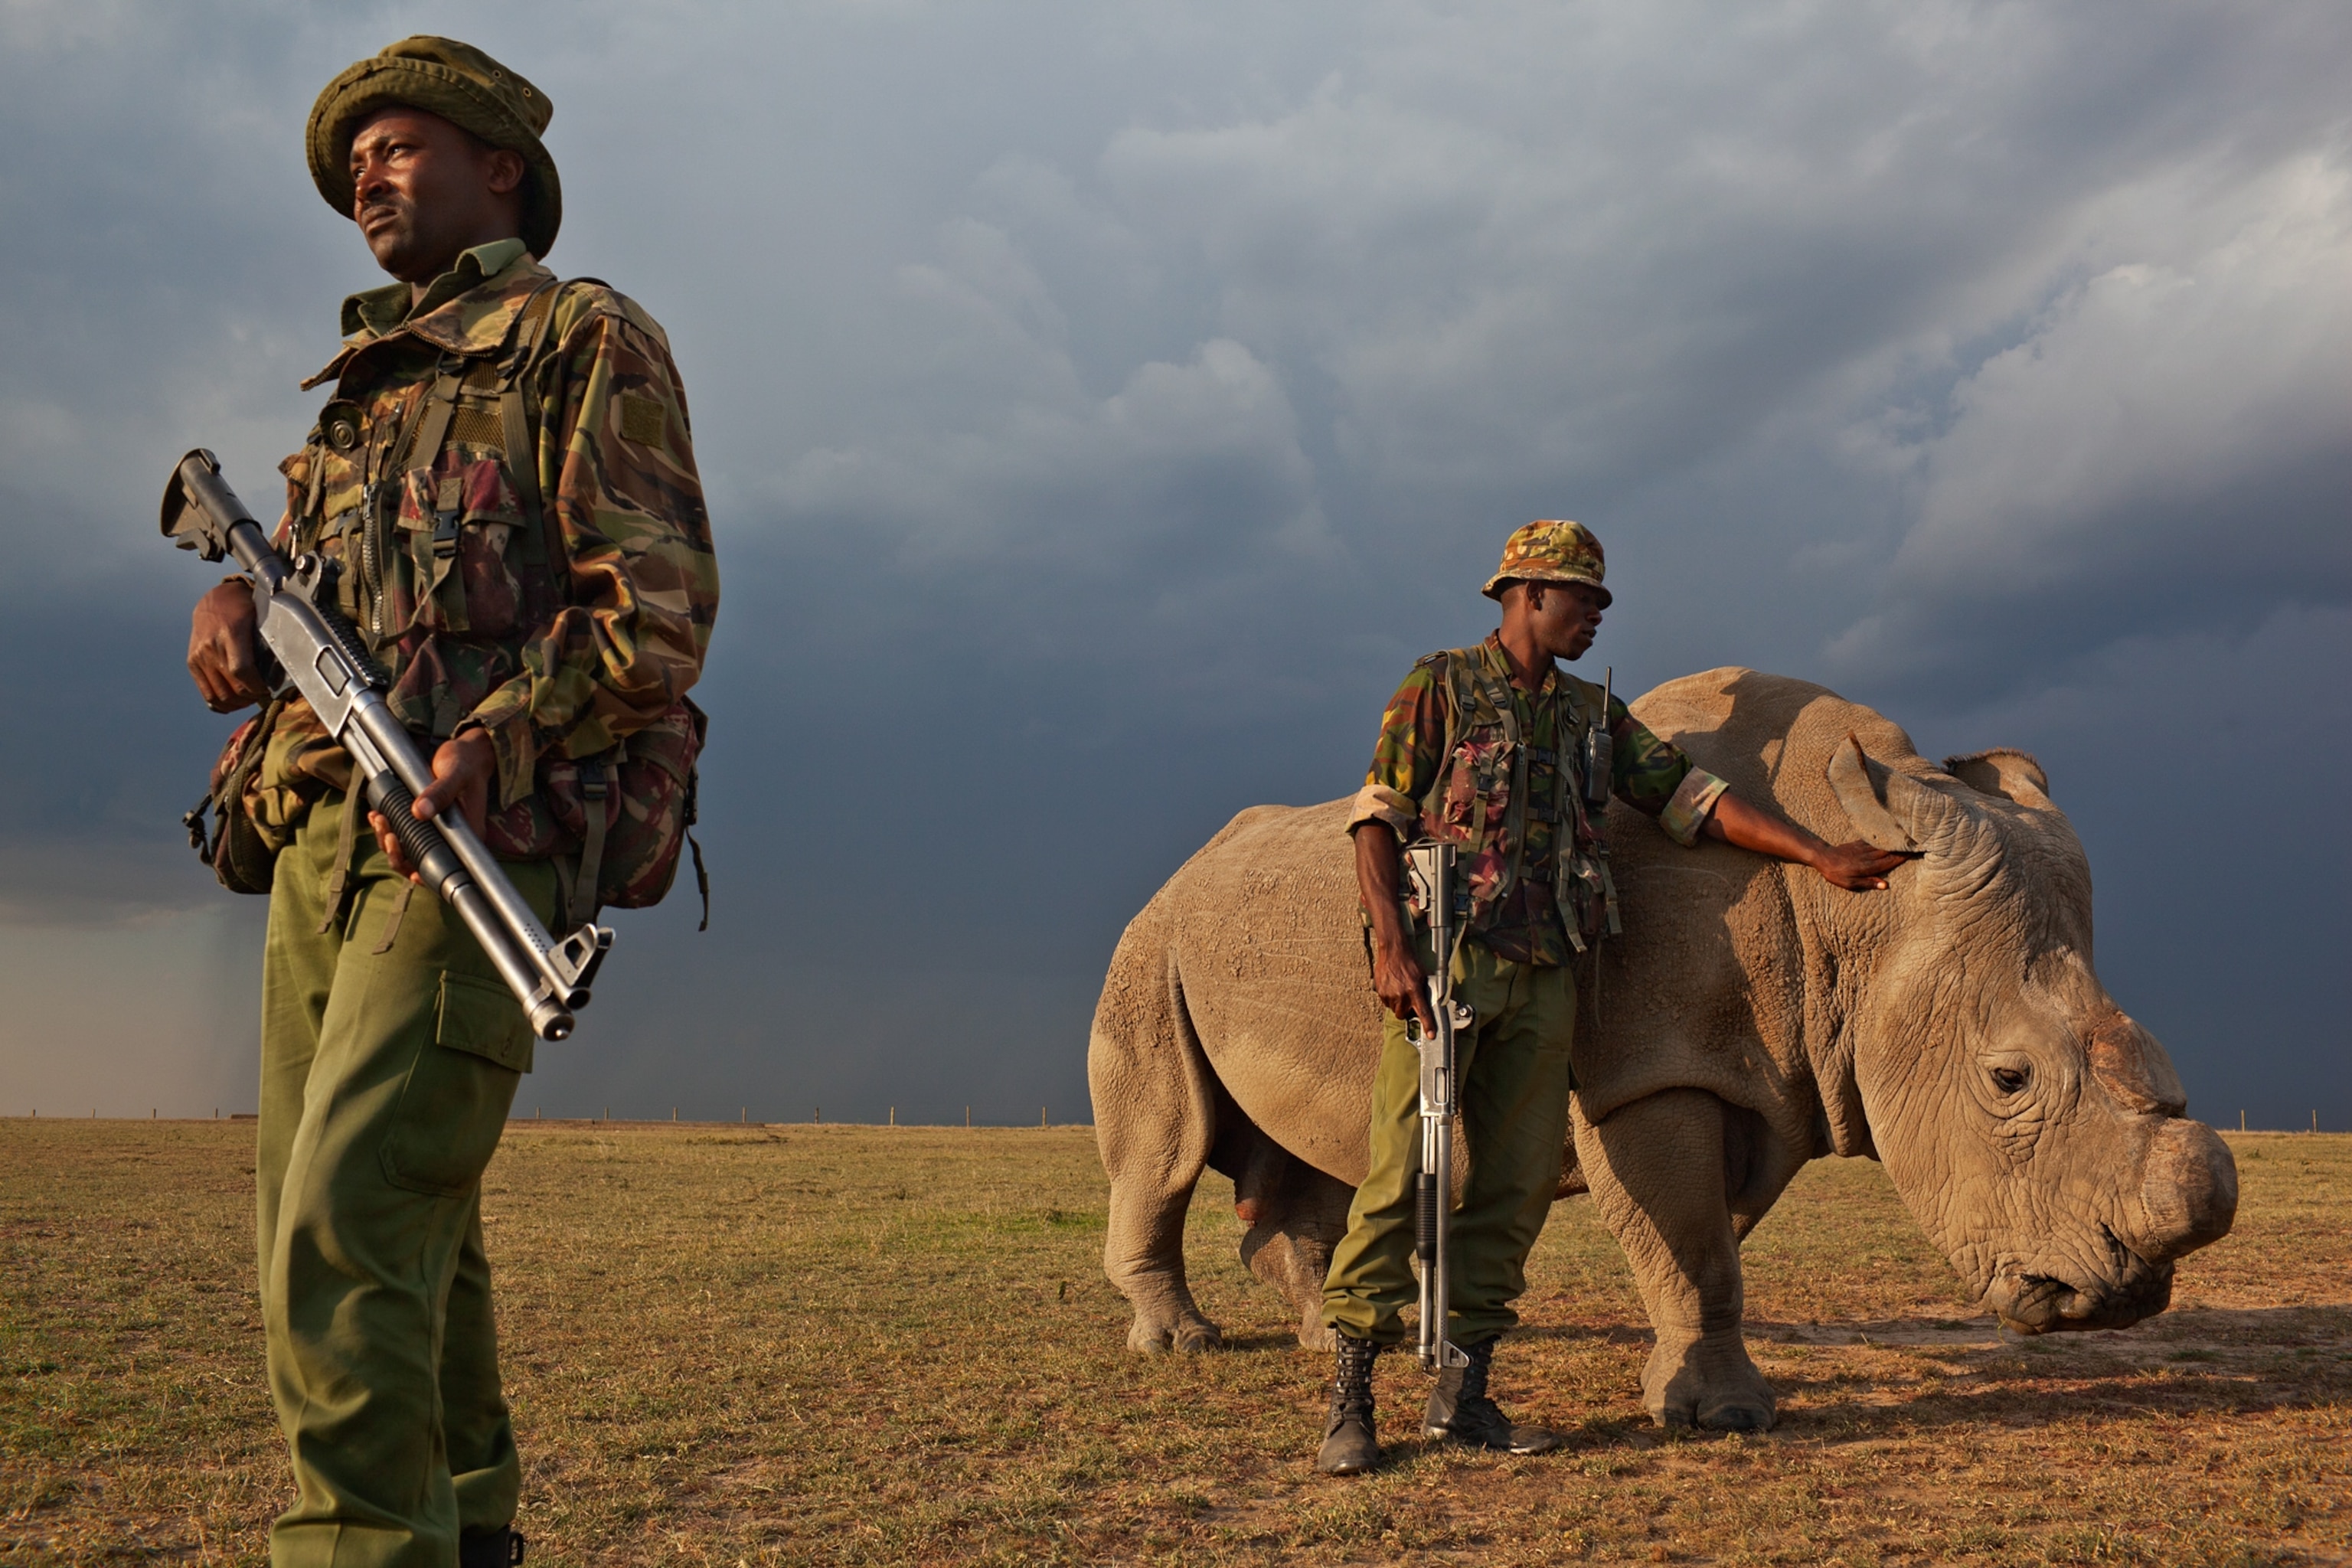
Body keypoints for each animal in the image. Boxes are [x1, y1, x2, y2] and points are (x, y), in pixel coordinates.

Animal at [1088, 668, 2238, 1430]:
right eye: (2006, 1080)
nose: (2123, 1300)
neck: (1856, 921)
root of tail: (1180, 874)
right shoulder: (1647, 1073)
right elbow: (1690, 1238)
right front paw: (1717, 1417)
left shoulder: (1760, 1072)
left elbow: (1703, 1240)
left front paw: (1688, 1389)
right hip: (1148, 945)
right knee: (1169, 1145)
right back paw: (1181, 1344)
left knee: (1323, 1154)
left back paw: (1327, 1335)